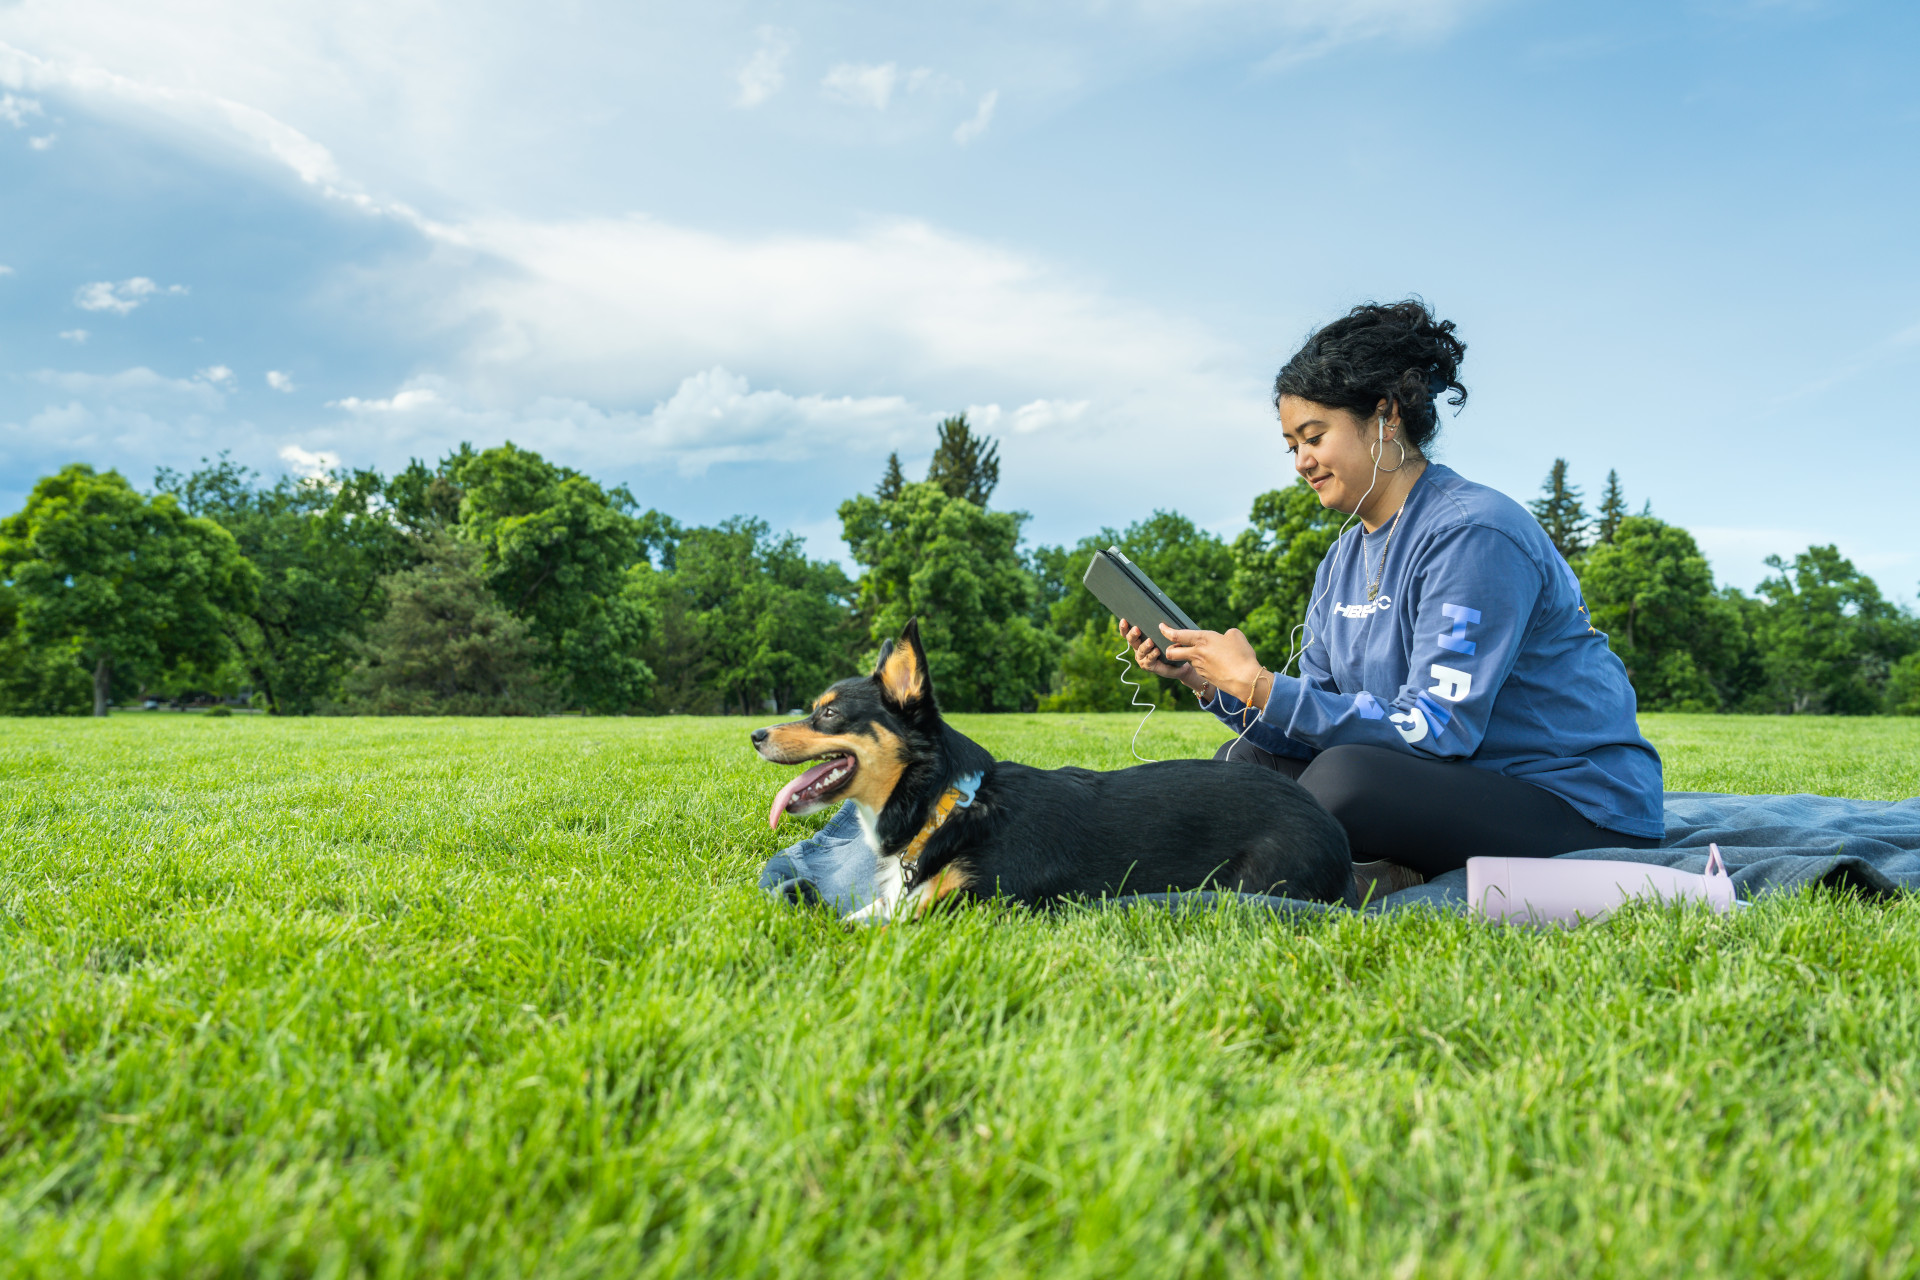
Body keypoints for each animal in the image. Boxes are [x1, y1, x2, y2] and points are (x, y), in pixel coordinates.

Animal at [748, 621, 1351, 921]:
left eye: (828, 714)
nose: (755, 735)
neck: (949, 801)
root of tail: (1337, 837)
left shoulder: (975, 906)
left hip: (1252, 885)